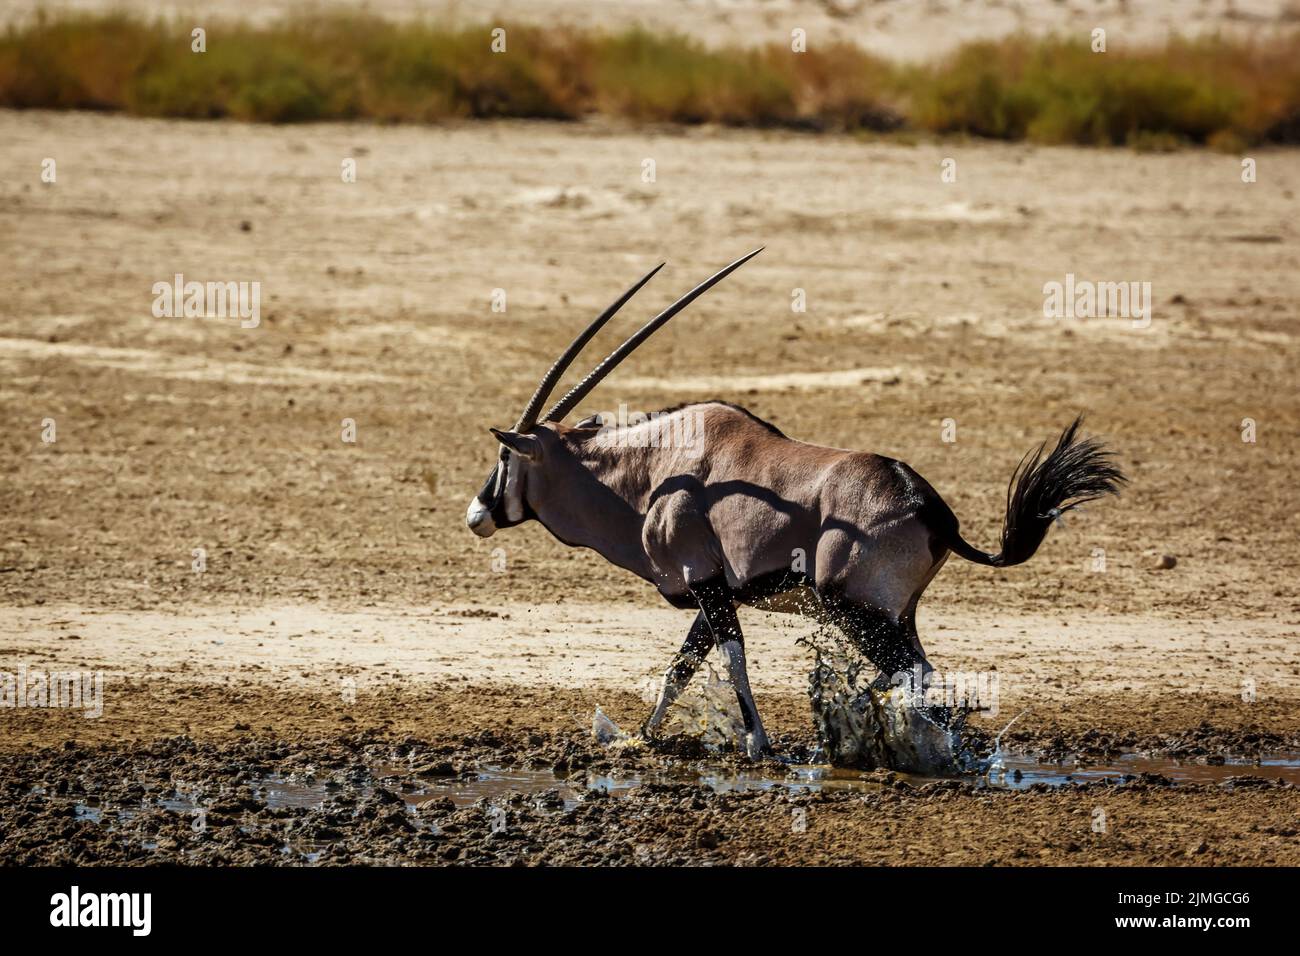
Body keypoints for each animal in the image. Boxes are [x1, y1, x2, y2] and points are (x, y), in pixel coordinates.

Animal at [470, 251, 1128, 759]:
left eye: (504, 456)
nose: (477, 514)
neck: (652, 475)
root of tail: (929, 506)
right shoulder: (717, 593)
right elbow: (680, 669)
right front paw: (639, 737)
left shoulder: (707, 585)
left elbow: (732, 661)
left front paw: (757, 744)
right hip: (895, 614)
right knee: (915, 675)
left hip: (854, 608)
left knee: (917, 675)